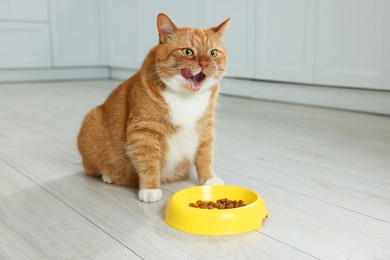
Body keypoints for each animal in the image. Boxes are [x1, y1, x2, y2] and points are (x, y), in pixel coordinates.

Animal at [77, 13, 229, 202]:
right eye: (187, 51)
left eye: (213, 53)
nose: (204, 63)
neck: (187, 99)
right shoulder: (144, 132)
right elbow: (148, 162)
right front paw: (150, 189)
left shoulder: (205, 129)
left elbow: (205, 156)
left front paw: (209, 179)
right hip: (91, 120)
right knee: (93, 168)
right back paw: (108, 175)